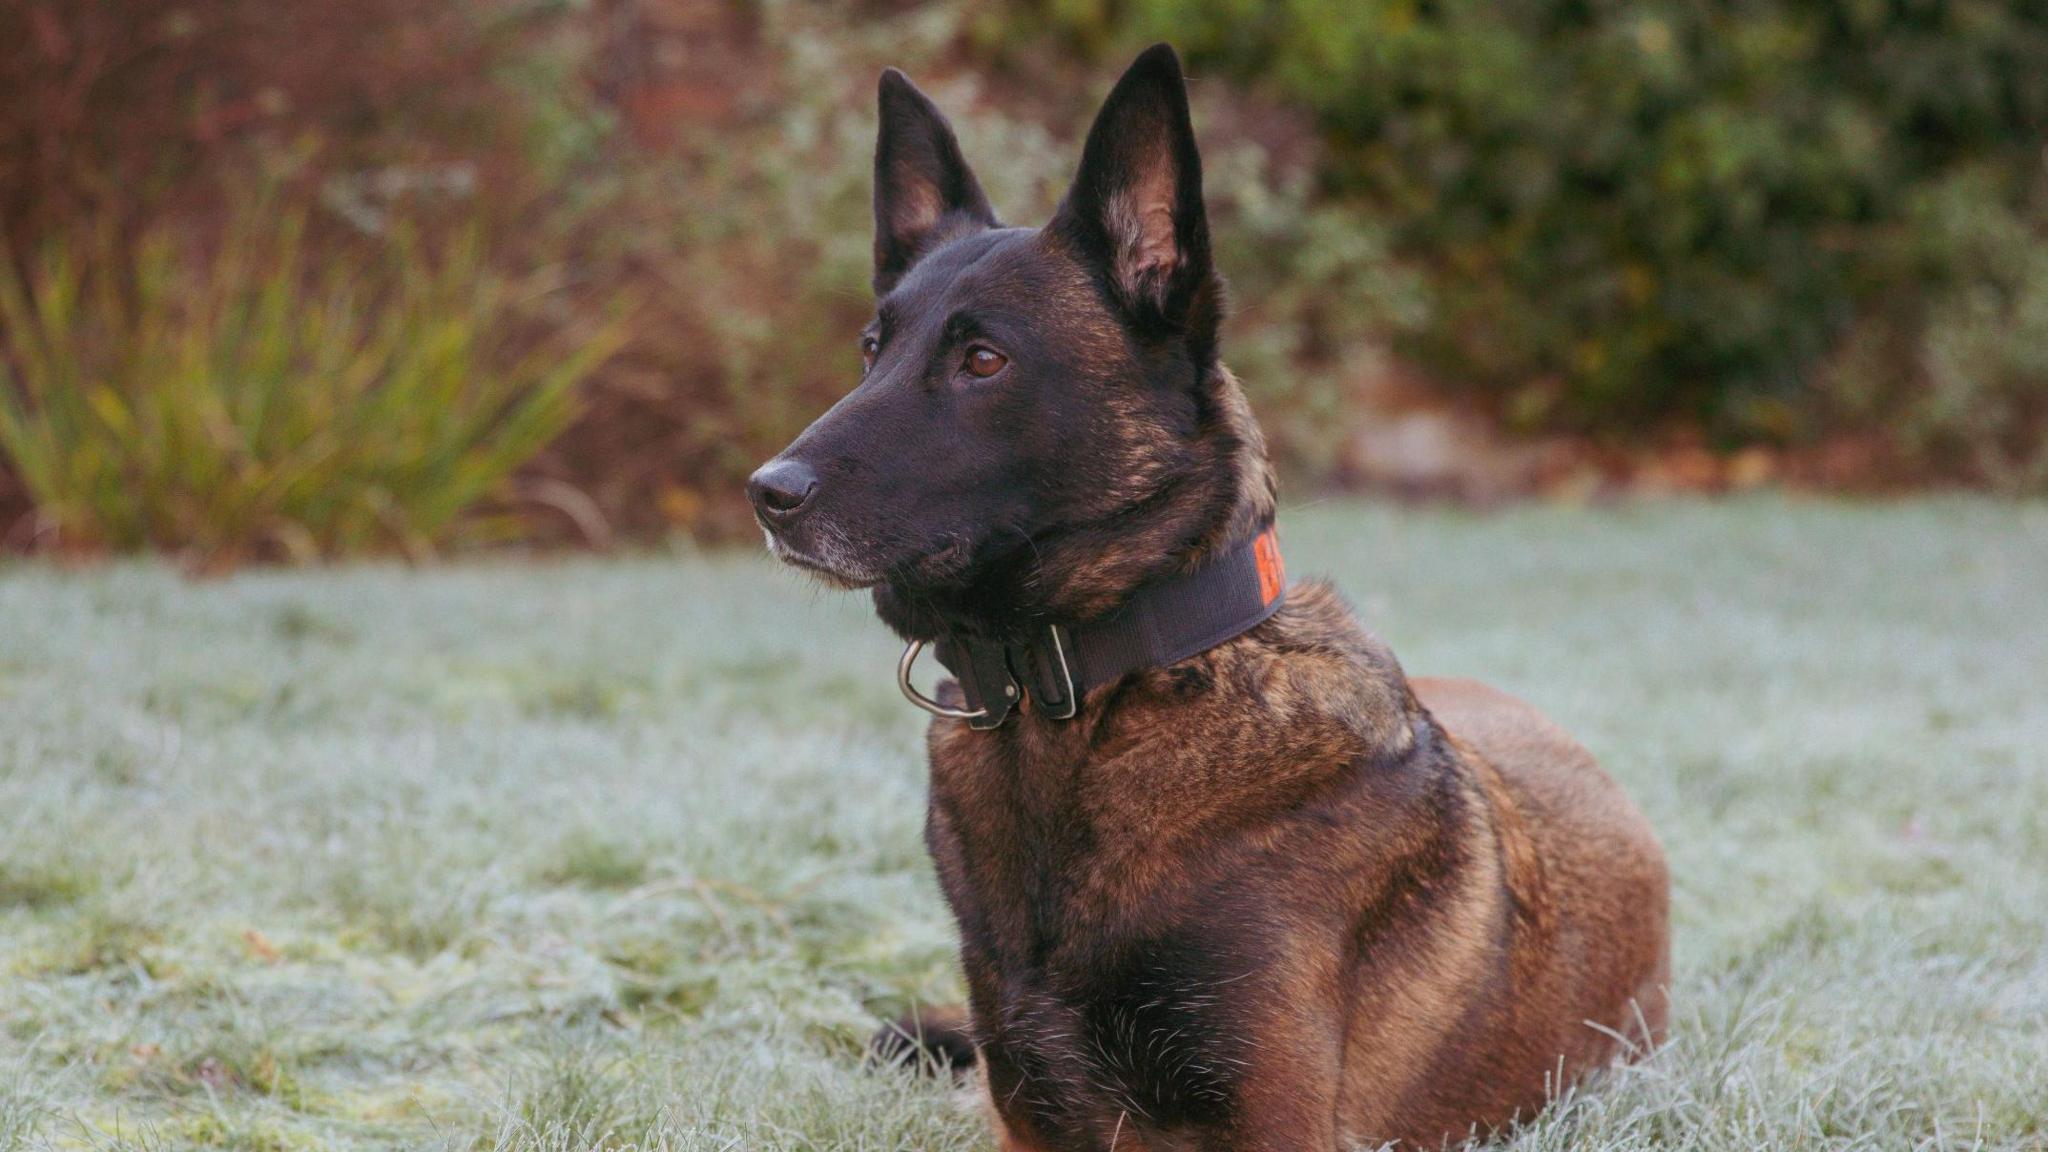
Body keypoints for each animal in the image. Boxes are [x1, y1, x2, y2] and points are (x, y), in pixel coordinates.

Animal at [745, 44, 1671, 1147]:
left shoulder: (1271, 1120)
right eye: (871, 348)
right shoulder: (1025, 1110)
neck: (1094, 691)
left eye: (982, 359)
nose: (766, 494)